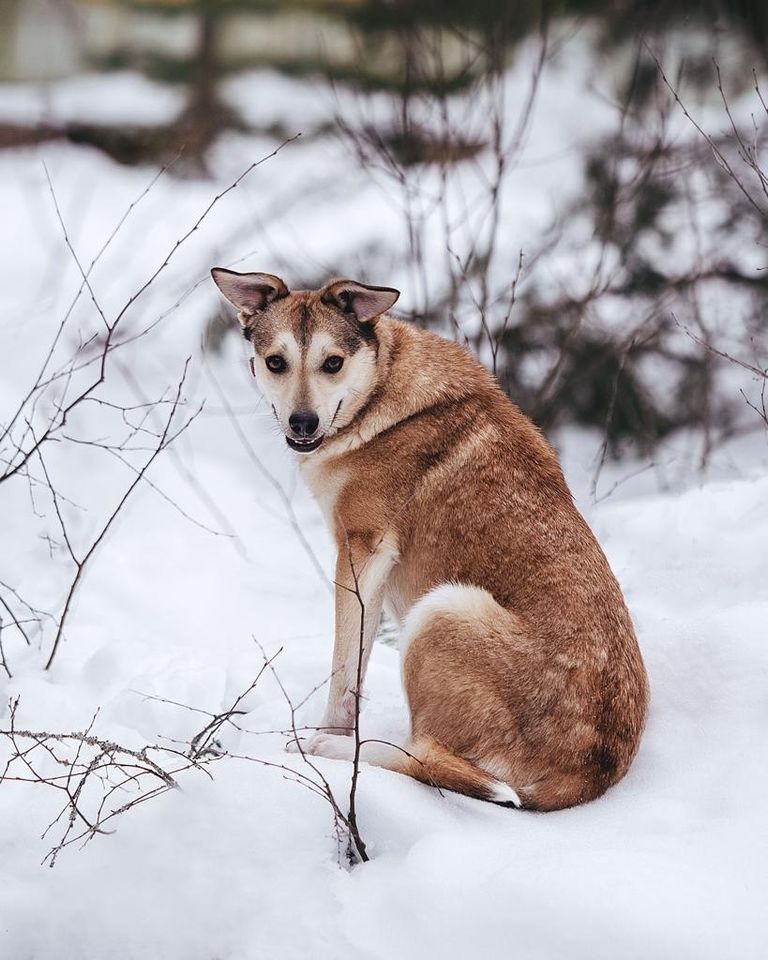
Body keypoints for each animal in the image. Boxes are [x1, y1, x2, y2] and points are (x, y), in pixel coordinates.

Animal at [213, 268, 652, 808]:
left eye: (332, 363)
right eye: (276, 362)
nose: (302, 423)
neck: (378, 396)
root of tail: (587, 775)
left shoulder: (361, 553)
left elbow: (342, 673)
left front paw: (329, 736)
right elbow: (355, 672)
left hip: (442, 609)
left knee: (425, 756)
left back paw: (330, 750)